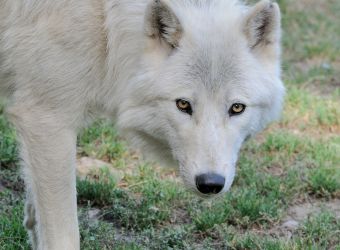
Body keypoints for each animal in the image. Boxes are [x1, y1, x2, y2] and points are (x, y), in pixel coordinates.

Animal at [0, 0, 284, 249]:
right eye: (183, 105)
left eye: (237, 108)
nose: (210, 183)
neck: (105, 24)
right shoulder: (47, 119)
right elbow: (64, 236)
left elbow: (34, 213)